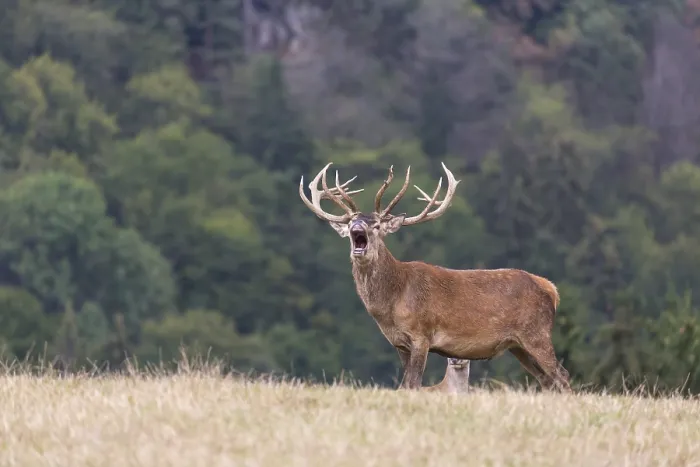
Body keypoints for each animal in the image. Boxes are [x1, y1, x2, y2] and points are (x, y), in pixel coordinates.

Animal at [298, 162, 571, 392]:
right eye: (351, 222)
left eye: (376, 225)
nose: (357, 228)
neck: (392, 301)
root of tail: (551, 289)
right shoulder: (399, 342)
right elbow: (405, 384)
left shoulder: (422, 334)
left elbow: (414, 384)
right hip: (518, 345)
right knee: (546, 379)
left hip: (536, 332)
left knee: (562, 375)